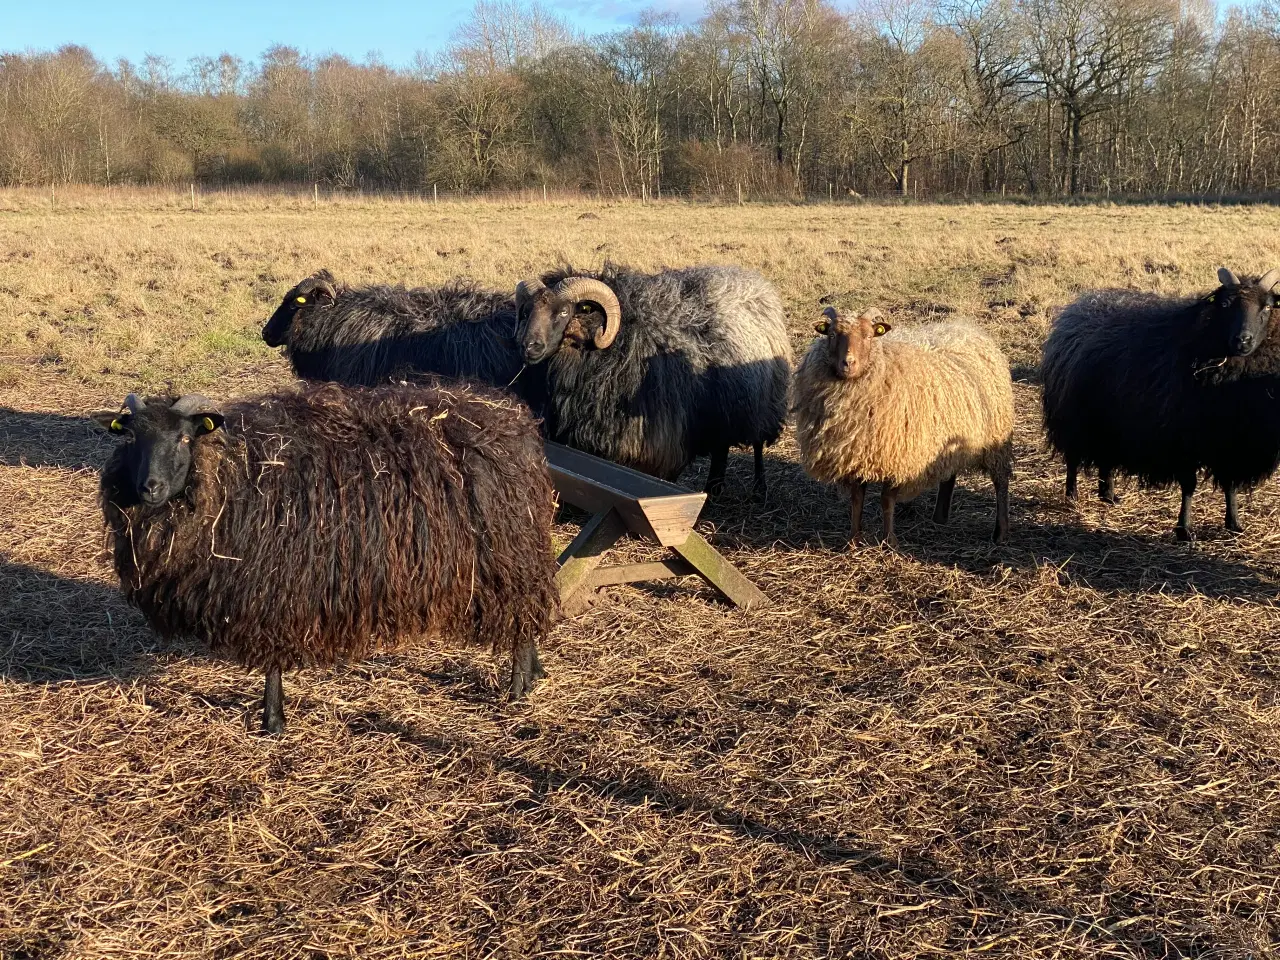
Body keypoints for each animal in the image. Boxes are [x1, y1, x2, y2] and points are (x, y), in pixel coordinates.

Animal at [93, 378, 555, 732]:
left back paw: (518, 687)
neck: (228, 475)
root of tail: (514, 420)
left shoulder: (273, 589)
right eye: (132, 439)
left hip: (508, 559)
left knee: (522, 617)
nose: (149, 487)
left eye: (184, 437)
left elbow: (273, 664)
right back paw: (534, 674)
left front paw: (272, 721)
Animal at [509, 264, 788, 496]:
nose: (528, 347)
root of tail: (756, 283)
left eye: (564, 311)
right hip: (723, 410)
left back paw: (759, 490)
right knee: (721, 450)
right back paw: (714, 491)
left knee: (757, 446)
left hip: (762, 405)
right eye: (527, 312)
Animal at [793, 308, 1013, 547]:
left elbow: (886, 500)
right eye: (832, 335)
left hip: (996, 441)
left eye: (868, 336)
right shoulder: (854, 454)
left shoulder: (897, 455)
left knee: (1001, 481)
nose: (848, 363)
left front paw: (890, 542)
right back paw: (940, 518)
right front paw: (853, 540)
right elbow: (857, 499)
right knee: (949, 473)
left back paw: (1001, 533)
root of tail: (967, 329)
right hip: (952, 434)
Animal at [1039, 267, 1280, 545]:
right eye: (1225, 305)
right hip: (1073, 416)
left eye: (1267, 307)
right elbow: (1189, 486)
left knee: (1105, 459)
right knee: (1072, 457)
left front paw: (1234, 524)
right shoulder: (1181, 438)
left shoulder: (1227, 439)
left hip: (1108, 420)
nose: (1243, 341)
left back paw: (1108, 494)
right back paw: (1072, 495)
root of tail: (1077, 307)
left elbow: (1229, 485)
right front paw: (1184, 529)